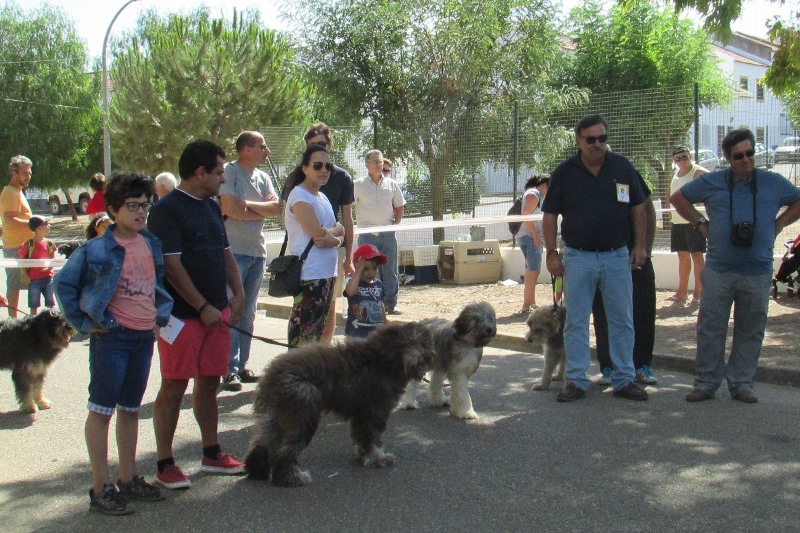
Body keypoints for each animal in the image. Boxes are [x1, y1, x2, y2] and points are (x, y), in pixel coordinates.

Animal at [244, 320, 434, 486]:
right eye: (411, 342)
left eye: (424, 343)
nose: (427, 357)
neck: (383, 361)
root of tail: (272, 375)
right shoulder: (373, 411)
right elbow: (372, 437)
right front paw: (378, 458)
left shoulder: (361, 414)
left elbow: (362, 437)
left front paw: (363, 455)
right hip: (303, 414)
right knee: (285, 450)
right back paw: (292, 478)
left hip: (278, 416)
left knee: (264, 442)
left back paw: (257, 470)